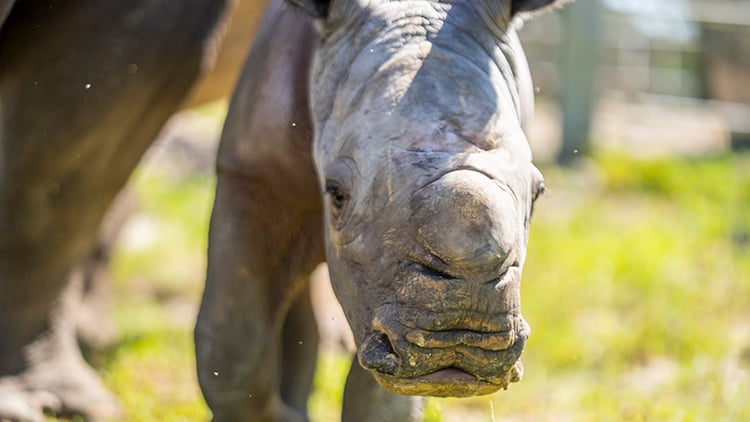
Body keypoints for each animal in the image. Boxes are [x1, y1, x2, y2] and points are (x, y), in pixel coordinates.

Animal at [0, 0, 561, 421]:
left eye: (537, 193)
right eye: (336, 193)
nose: (457, 345)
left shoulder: (382, 291)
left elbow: (381, 397)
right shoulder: (250, 177)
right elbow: (232, 345)